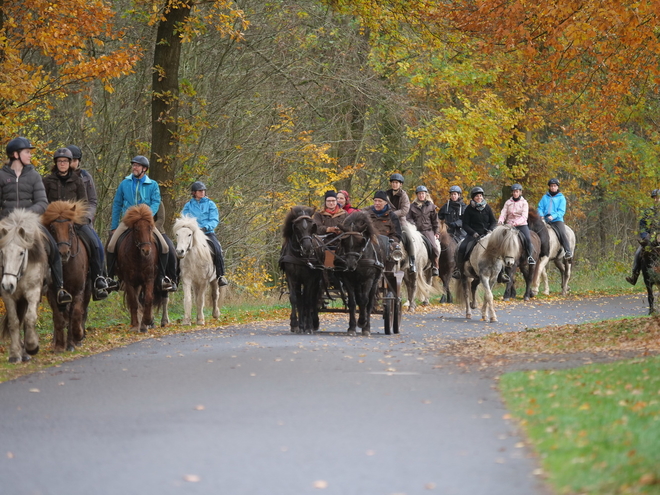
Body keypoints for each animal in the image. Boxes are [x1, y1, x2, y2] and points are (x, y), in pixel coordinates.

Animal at [0, 209, 49, 364]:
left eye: (21, 252)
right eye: (2, 252)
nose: (8, 284)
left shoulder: (33, 293)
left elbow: (30, 318)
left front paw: (32, 346)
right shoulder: (8, 296)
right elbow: (14, 322)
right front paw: (15, 353)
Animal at [42, 202, 91, 352]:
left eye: (70, 228)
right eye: (52, 228)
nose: (63, 253)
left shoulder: (78, 290)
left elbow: (76, 314)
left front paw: (77, 336)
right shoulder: (53, 293)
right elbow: (58, 318)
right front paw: (59, 346)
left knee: (81, 311)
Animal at [115, 205, 170, 334]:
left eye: (149, 228)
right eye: (136, 229)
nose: (146, 250)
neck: (138, 258)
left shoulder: (149, 279)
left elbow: (148, 299)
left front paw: (147, 320)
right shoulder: (129, 281)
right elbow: (134, 302)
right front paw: (136, 326)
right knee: (134, 301)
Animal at [278, 203, 322, 336]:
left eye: (312, 226)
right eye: (296, 227)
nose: (307, 248)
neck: (299, 256)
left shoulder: (309, 279)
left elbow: (308, 300)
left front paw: (308, 327)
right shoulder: (291, 277)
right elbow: (294, 299)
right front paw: (295, 325)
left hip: (317, 280)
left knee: (313, 298)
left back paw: (312, 323)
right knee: (300, 299)